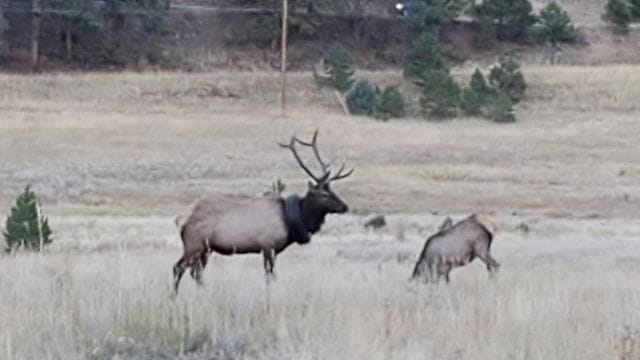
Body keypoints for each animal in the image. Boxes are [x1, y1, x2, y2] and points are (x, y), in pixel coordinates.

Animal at [172, 131, 356, 294]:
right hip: (194, 244)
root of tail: (181, 219)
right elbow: (270, 276)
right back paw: (173, 297)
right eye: (324, 194)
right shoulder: (268, 245)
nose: (345, 206)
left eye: (332, 190)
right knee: (178, 268)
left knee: (196, 273)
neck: (289, 222)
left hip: (206, 249)